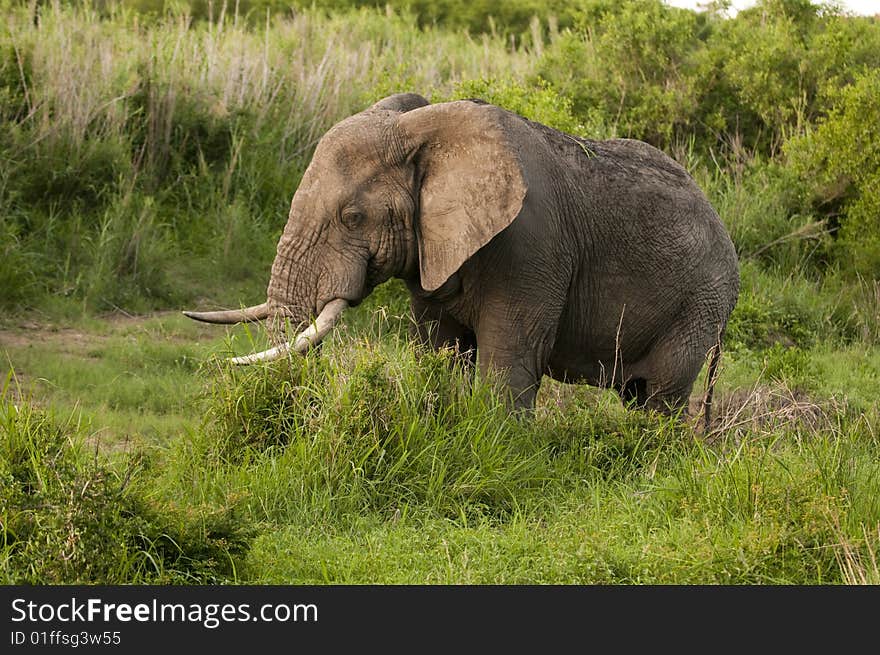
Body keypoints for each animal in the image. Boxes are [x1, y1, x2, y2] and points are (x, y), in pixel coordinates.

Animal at [186, 92, 744, 422]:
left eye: (352, 217)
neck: (424, 130)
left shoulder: (531, 248)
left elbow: (508, 359)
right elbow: (440, 351)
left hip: (701, 303)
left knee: (661, 394)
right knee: (639, 393)